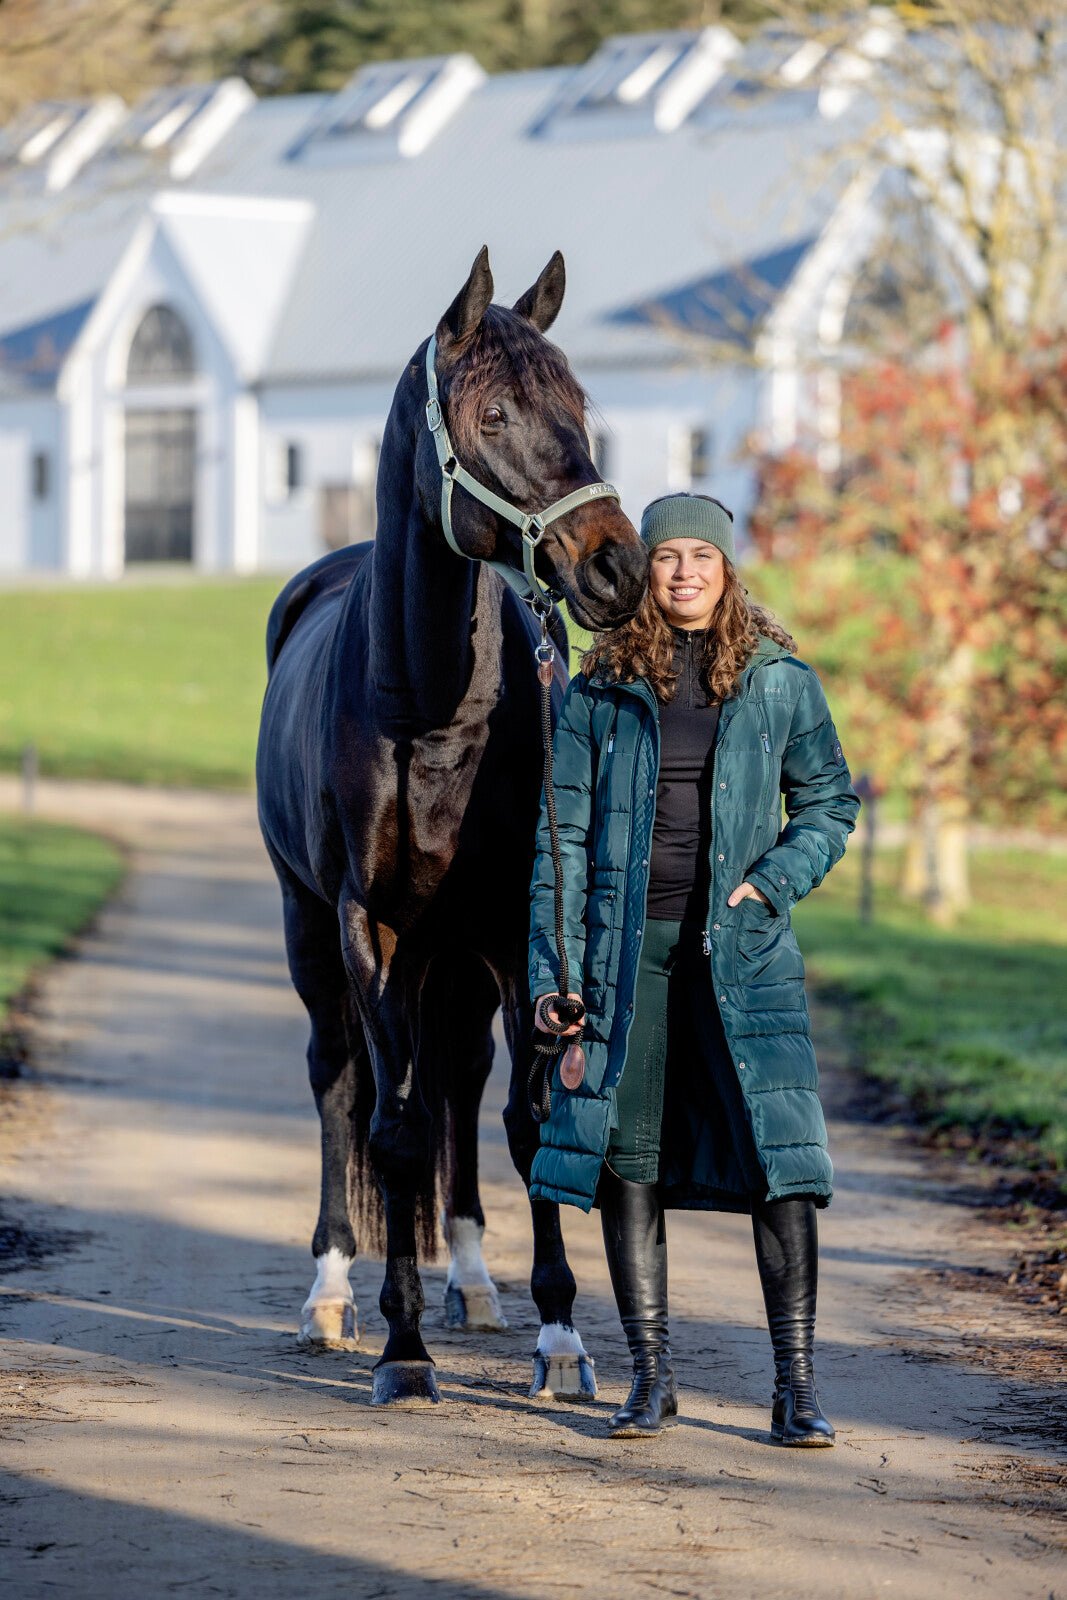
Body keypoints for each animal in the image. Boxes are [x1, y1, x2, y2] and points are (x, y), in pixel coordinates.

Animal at [256, 247, 647, 1406]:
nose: (617, 567)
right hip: (311, 929)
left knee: (462, 1083)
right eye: (493, 414)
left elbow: (524, 1117)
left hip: (460, 957)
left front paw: (560, 1336)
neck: (426, 709)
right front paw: (402, 1347)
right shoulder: (370, 928)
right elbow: (388, 1128)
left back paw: (474, 1281)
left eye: (579, 405)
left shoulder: (517, 928)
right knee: (342, 1082)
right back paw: (329, 1292)